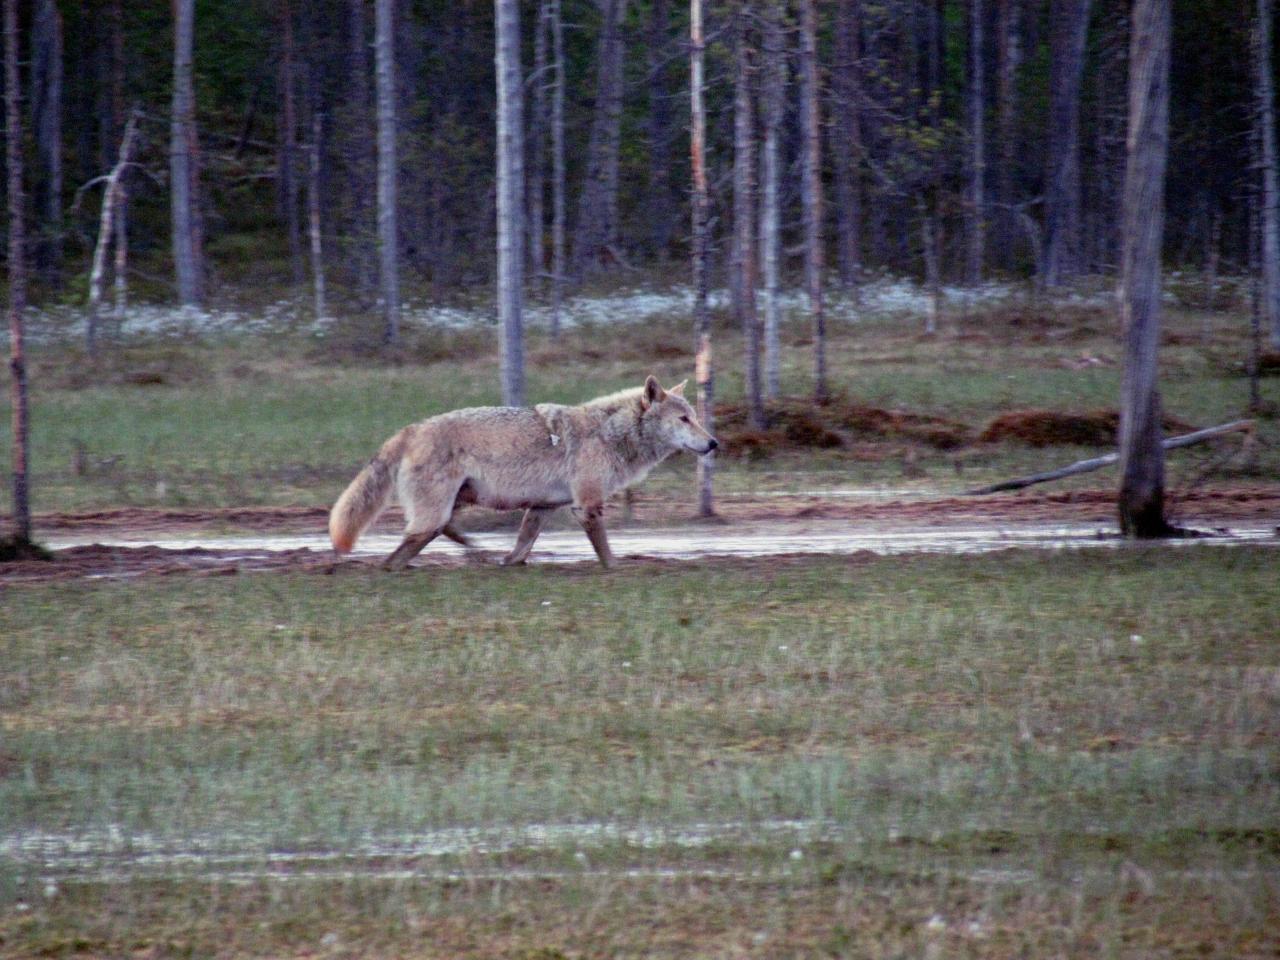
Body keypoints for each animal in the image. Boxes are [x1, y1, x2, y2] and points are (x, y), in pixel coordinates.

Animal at [330, 378, 716, 570]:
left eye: (695, 417)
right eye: (684, 419)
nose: (713, 443)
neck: (609, 433)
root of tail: (411, 429)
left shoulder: (541, 509)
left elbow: (519, 551)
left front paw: (507, 564)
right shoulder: (587, 506)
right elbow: (607, 556)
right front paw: (619, 569)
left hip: (452, 507)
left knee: (441, 534)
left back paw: (476, 552)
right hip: (435, 514)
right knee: (398, 554)